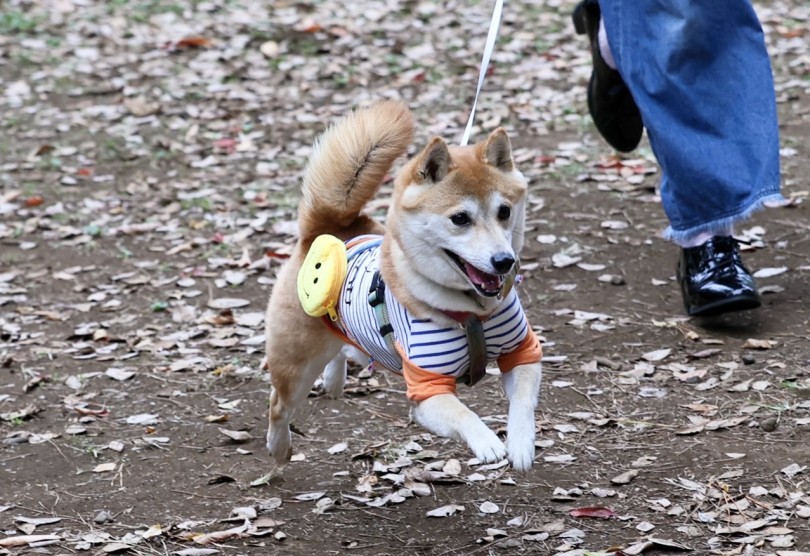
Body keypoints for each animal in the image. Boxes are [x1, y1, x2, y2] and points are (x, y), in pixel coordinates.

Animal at [266, 99, 544, 470]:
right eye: (460, 218)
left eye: (504, 211)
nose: (504, 261)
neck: (473, 313)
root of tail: (328, 227)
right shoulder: (427, 389)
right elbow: (464, 413)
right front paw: (487, 442)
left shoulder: (522, 351)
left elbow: (523, 402)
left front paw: (521, 444)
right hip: (295, 365)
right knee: (279, 405)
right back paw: (279, 447)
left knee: (341, 351)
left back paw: (335, 380)